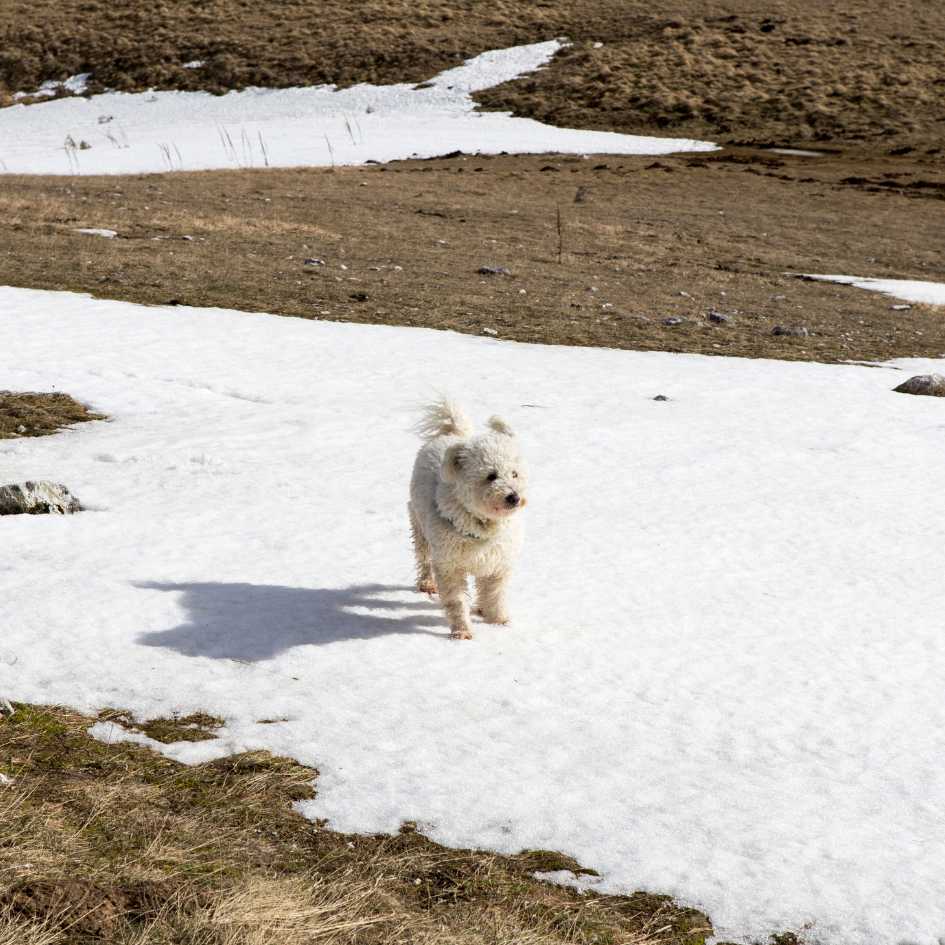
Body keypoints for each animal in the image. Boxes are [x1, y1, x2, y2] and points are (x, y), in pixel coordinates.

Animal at [408, 398, 528, 640]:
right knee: (423, 557)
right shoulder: (449, 566)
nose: (514, 497)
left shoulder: (497, 564)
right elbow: (456, 601)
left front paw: (498, 621)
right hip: (419, 525)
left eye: (515, 474)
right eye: (491, 476)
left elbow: (495, 595)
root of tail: (453, 433)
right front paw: (462, 631)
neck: (483, 525)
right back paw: (426, 583)